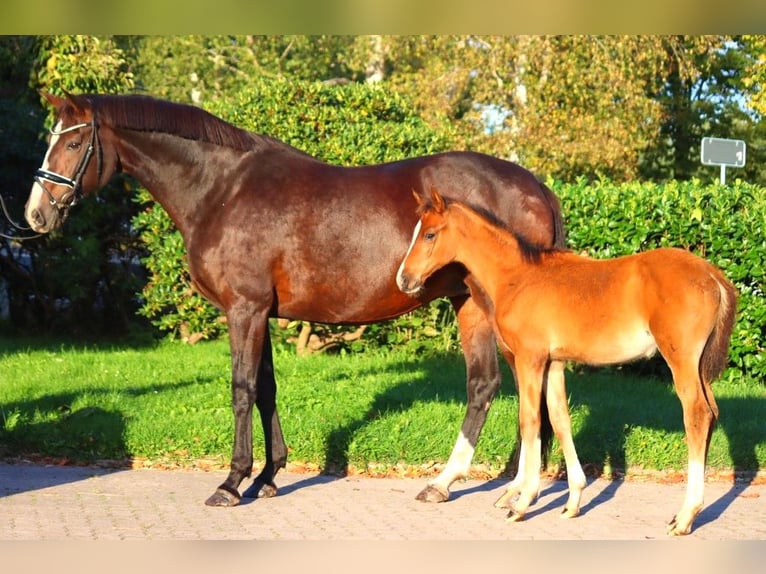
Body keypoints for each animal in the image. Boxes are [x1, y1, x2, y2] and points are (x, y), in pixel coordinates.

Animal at [24, 93, 568, 508]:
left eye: (73, 141)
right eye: (51, 139)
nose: (35, 215)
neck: (221, 189)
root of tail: (535, 186)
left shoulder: (244, 309)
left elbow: (241, 389)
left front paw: (231, 482)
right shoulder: (260, 311)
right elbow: (265, 389)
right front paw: (267, 477)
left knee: (517, 388)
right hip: (468, 304)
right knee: (488, 385)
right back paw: (453, 483)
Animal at [396, 191, 736, 536]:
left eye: (429, 234)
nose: (404, 280)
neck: (517, 277)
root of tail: (712, 274)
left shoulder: (530, 358)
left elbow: (530, 420)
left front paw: (522, 502)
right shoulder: (554, 363)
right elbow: (560, 420)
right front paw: (573, 501)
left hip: (680, 359)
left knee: (696, 415)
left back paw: (685, 517)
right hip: (699, 366)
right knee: (712, 413)